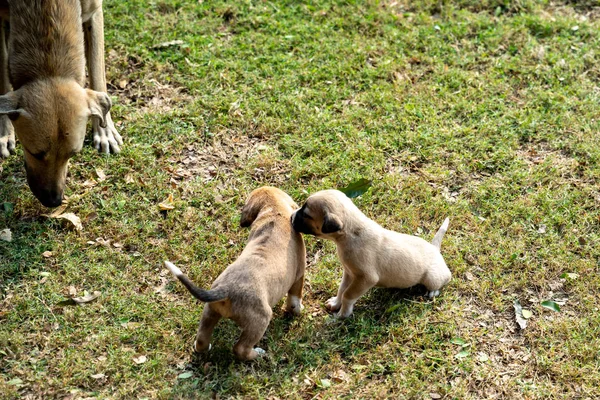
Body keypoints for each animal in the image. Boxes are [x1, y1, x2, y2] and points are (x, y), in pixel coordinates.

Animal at [0, 0, 120, 206]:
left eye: (72, 154)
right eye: (35, 153)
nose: (54, 201)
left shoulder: (94, 11)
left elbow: (98, 74)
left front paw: (105, 131)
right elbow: (2, 75)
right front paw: (5, 131)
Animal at [163, 187, 304, 360]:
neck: (274, 212)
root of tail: (227, 290)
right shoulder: (299, 275)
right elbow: (294, 298)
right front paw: (297, 311)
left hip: (210, 311)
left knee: (201, 340)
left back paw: (204, 347)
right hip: (260, 320)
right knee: (240, 349)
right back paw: (257, 354)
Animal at [290, 190, 450, 318]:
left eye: (306, 215)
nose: (291, 217)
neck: (352, 233)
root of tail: (435, 248)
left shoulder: (365, 279)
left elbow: (348, 295)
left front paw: (342, 315)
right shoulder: (349, 274)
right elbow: (342, 289)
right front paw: (336, 303)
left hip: (432, 277)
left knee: (441, 282)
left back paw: (433, 292)